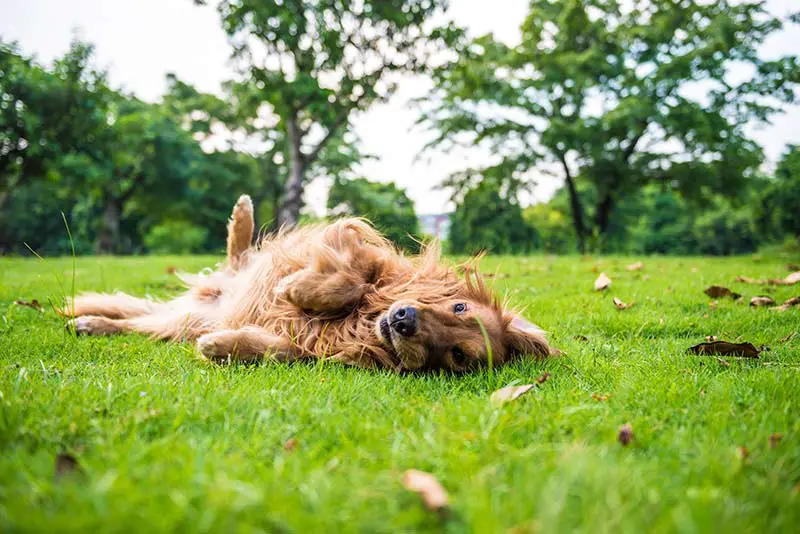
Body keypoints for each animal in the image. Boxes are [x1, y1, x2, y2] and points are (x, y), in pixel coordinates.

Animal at [64, 196, 552, 372]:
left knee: (135, 323)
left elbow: (282, 350)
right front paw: (296, 291)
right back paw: (243, 215)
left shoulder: (314, 349)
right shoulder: (357, 245)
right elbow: (354, 277)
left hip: (182, 321)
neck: (364, 324)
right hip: (225, 283)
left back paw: (90, 323)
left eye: (457, 357)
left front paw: (223, 346)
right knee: (239, 254)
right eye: (459, 308)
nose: (404, 320)